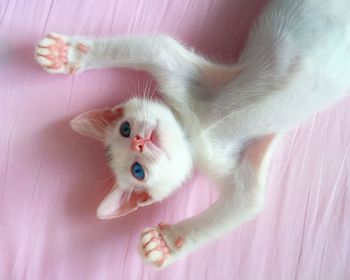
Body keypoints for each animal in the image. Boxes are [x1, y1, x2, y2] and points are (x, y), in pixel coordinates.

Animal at [34, 0, 350, 268]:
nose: (139, 141)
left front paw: (68, 53)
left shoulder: (182, 75)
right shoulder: (243, 162)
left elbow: (152, 46)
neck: (196, 131)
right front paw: (166, 242)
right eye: (137, 171)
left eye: (124, 129)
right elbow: (246, 202)